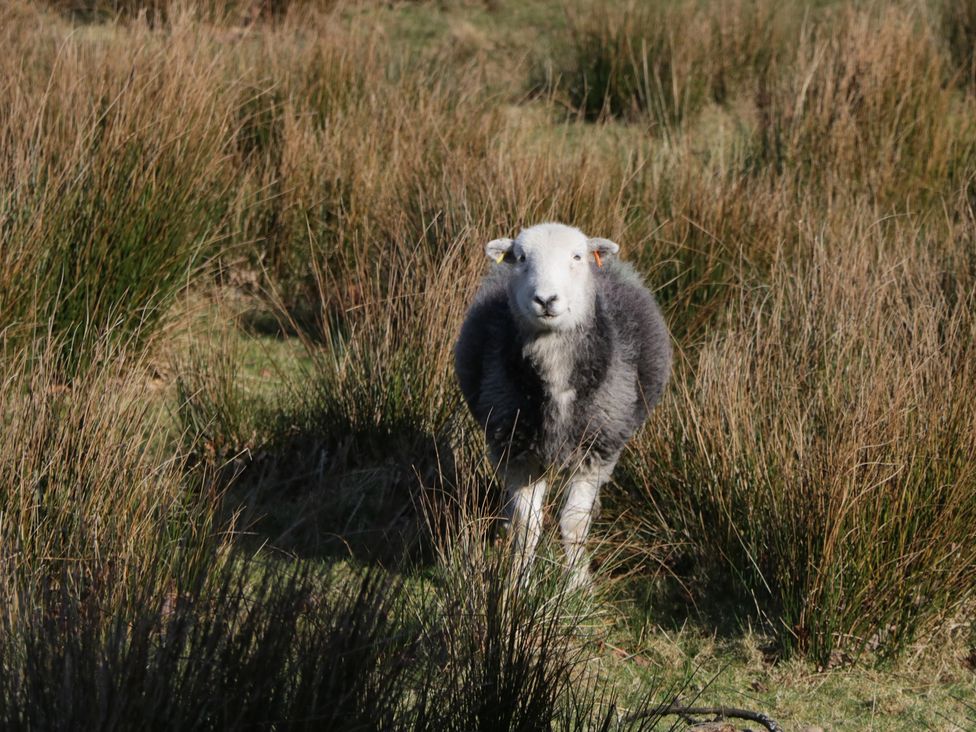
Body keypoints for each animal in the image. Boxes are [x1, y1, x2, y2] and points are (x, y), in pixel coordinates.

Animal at [454, 222, 672, 589]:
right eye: (521, 257)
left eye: (577, 256)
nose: (546, 299)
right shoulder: (517, 450)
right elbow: (528, 526)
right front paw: (519, 583)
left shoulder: (596, 451)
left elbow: (573, 522)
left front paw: (578, 585)